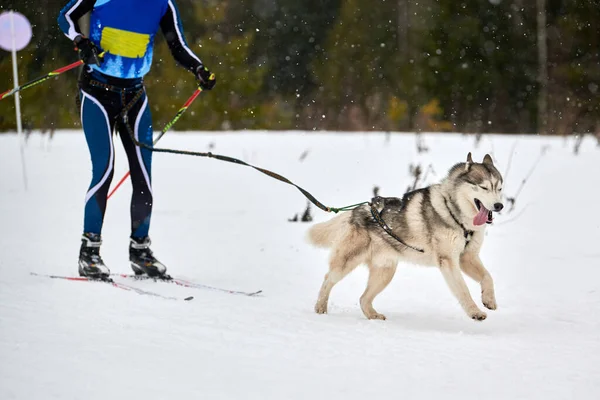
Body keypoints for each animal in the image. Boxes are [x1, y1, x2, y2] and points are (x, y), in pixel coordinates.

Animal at [308, 153, 504, 322]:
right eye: (484, 187)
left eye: (499, 188)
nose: (499, 205)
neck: (456, 215)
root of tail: (357, 210)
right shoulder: (448, 261)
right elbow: (463, 290)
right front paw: (474, 312)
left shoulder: (467, 257)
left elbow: (488, 277)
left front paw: (489, 300)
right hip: (347, 263)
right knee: (328, 279)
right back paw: (320, 307)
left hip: (385, 272)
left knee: (363, 298)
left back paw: (373, 316)